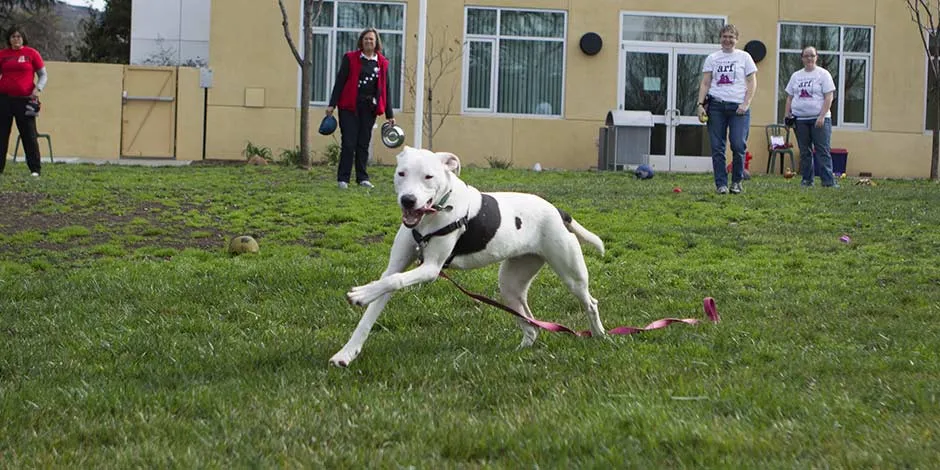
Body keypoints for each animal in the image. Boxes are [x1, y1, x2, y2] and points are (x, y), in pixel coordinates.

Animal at [330, 147, 608, 368]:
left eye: (428, 176)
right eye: (401, 174)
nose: (408, 200)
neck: (434, 214)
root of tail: (558, 211)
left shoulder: (430, 268)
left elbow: (394, 281)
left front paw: (361, 294)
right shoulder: (395, 267)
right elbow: (379, 297)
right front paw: (347, 353)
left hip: (571, 274)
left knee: (590, 303)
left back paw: (600, 336)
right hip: (511, 285)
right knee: (530, 322)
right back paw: (521, 349)